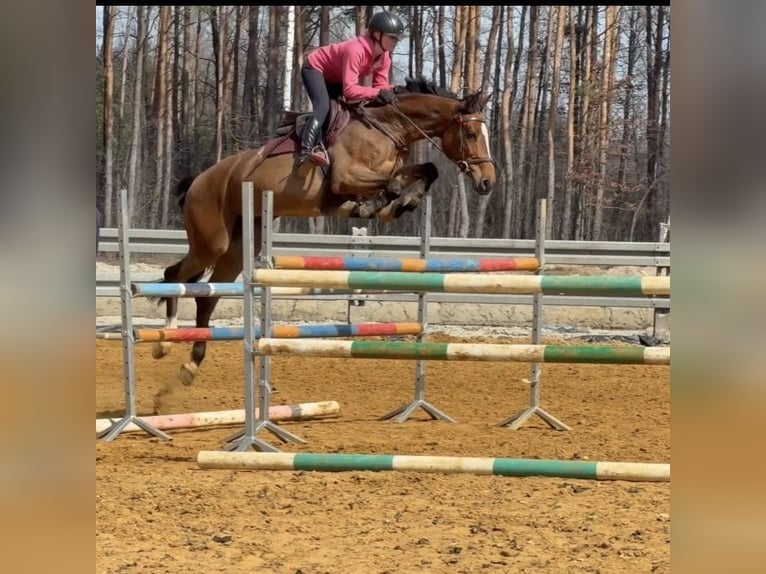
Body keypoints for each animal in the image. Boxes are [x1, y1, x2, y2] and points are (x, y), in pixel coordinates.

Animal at [153, 78, 497, 385]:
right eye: (470, 133)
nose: (487, 182)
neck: (387, 127)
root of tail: (197, 180)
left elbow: (427, 170)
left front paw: (399, 203)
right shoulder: (345, 178)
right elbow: (391, 184)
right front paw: (382, 204)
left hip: (240, 248)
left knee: (207, 297)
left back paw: (191, 364)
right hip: (213, 242)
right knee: (175, 275)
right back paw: (164, 342)